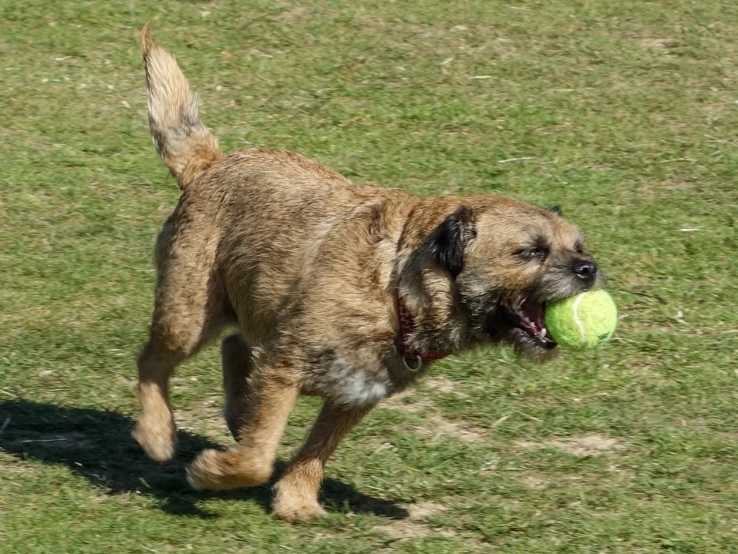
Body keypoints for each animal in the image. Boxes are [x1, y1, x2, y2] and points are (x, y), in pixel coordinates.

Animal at [132, 24, 600, 516]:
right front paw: (213, 472)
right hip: (188, 315)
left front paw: (295, 500)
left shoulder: (354, 395)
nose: (589, 269)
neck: (394, 289)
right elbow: (259, 457)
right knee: (152, 360)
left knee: (235, 345)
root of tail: (211, 165)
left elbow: (315, 451)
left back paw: (235, 414)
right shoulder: (284, 369)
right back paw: (158, 433)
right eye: (530, 251)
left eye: (578, 246)